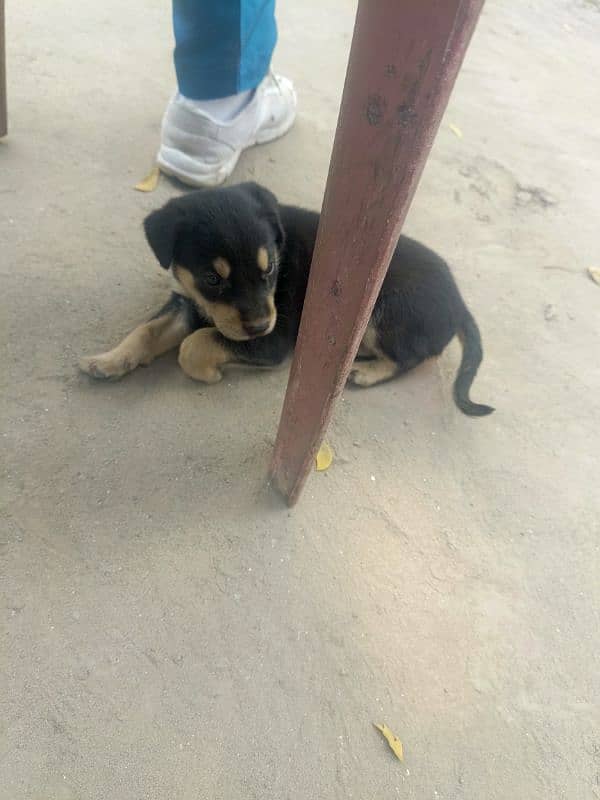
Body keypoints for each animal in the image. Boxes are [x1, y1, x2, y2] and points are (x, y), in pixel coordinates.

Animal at [79, 182, 492, 418]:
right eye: (212, 279)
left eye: (271, 269)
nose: (261, 325)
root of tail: (459, 302)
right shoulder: (186, 302)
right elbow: (147, 330)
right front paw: (108, 361)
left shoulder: (273, 342)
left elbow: (195, 344)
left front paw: (209, 373)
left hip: (384, 311)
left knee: (412, 357)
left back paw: (366, 370)